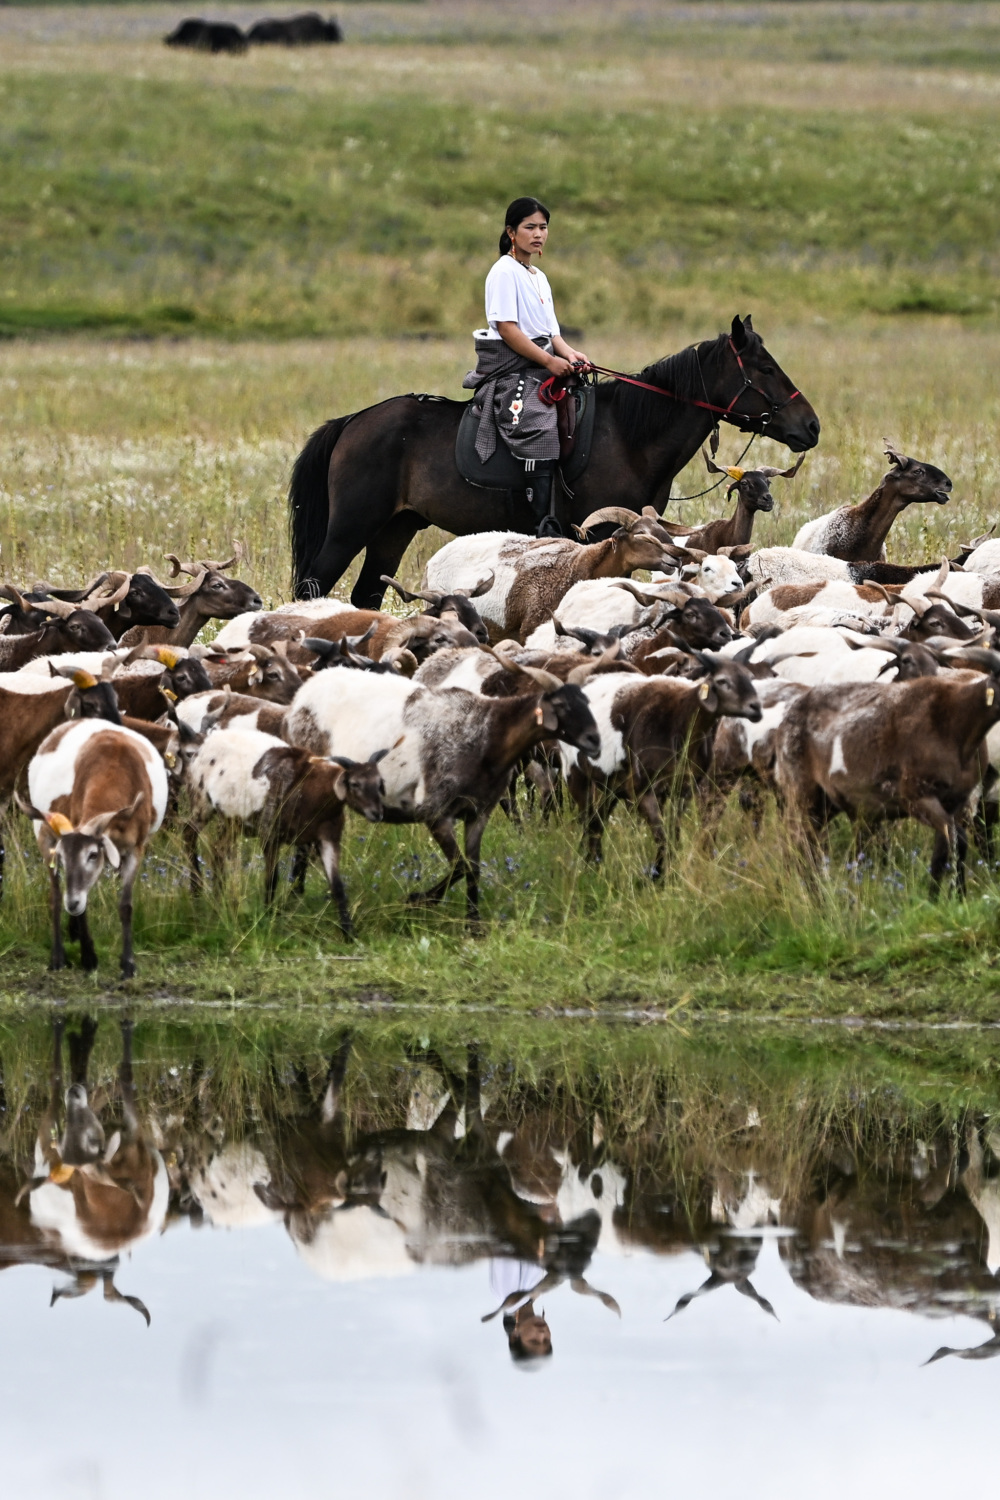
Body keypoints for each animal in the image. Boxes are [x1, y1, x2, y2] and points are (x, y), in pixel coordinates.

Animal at [284, 313, 815, 606]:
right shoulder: (600, 533)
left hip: (395, 529)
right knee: (312, 588)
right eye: (765, 368)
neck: (628, 435)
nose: (811, 426)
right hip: (349, 527)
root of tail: (352, 422)